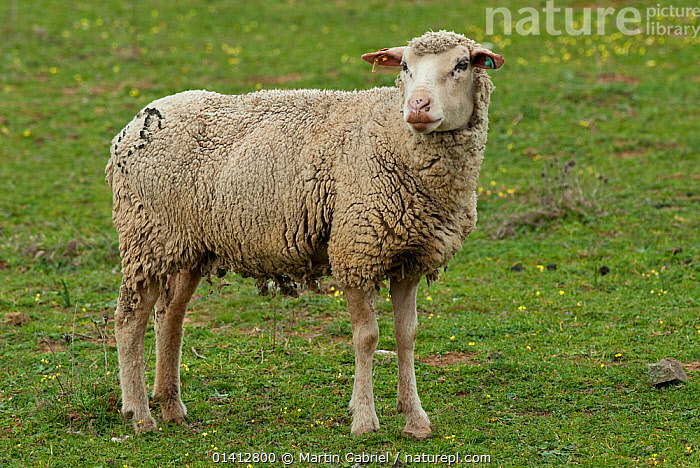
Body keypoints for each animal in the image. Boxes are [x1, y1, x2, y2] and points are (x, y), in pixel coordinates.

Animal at [105, 29, 504, 438]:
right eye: (405, 65)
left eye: (461, 65)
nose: (418, 107)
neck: (392, 134)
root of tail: (136, 124)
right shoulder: (355, 252)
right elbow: (367, 338)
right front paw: (364, 419)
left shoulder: (409, 258)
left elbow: (406, 335)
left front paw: (416, 419)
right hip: (146, 237)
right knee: (129, 320)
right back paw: (140, 414)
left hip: (187, 245)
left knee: (169, 317)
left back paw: (172, 407)